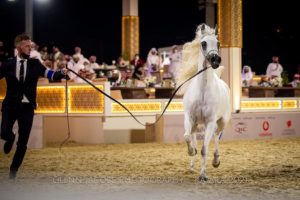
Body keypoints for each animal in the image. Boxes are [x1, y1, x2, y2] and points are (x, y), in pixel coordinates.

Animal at [177, 23, 231, 181]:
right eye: (203, 43)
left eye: (218, 43)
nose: (215, 60)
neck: (202, 91)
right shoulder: (189, 118)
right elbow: (187, 137)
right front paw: (191, 152)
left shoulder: (210, 122)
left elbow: (204, 149)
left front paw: (203, 175)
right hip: (196, 124)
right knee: (194, 137)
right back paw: (191, 166)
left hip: (221, 122)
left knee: (216, 137)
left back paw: (216, 161)